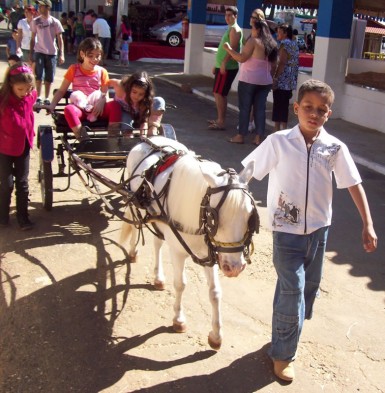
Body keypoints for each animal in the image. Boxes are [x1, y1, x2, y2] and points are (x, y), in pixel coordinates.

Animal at [119, 136, 258, 350]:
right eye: (213, 217)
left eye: (250, 216)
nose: (234, 268)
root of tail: (149, 139)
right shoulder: (177, 251)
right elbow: (180, 284)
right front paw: (178, 320)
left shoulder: (211, 253)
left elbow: (215, 292)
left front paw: (216, 335)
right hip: (137, 204)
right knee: (136, 225)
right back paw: (133, 251)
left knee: (157, 243)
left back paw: (158, 278)